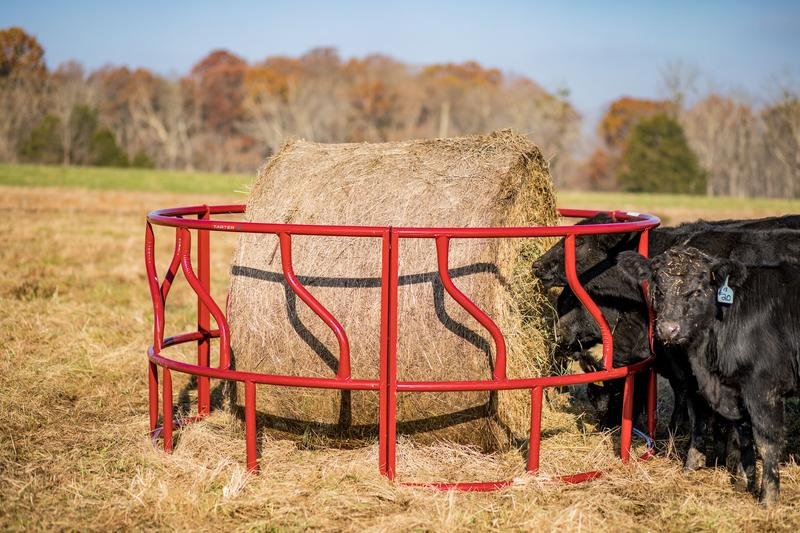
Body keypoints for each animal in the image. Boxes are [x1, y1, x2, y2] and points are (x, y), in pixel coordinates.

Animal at [618, 246, 800, 504]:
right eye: (659, 290)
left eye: (697, 291)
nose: (668, 329)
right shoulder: (733, 390)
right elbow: (738, 434)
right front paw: (742, 483)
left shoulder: (763, 388)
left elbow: (767, 442)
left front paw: (768, 499)